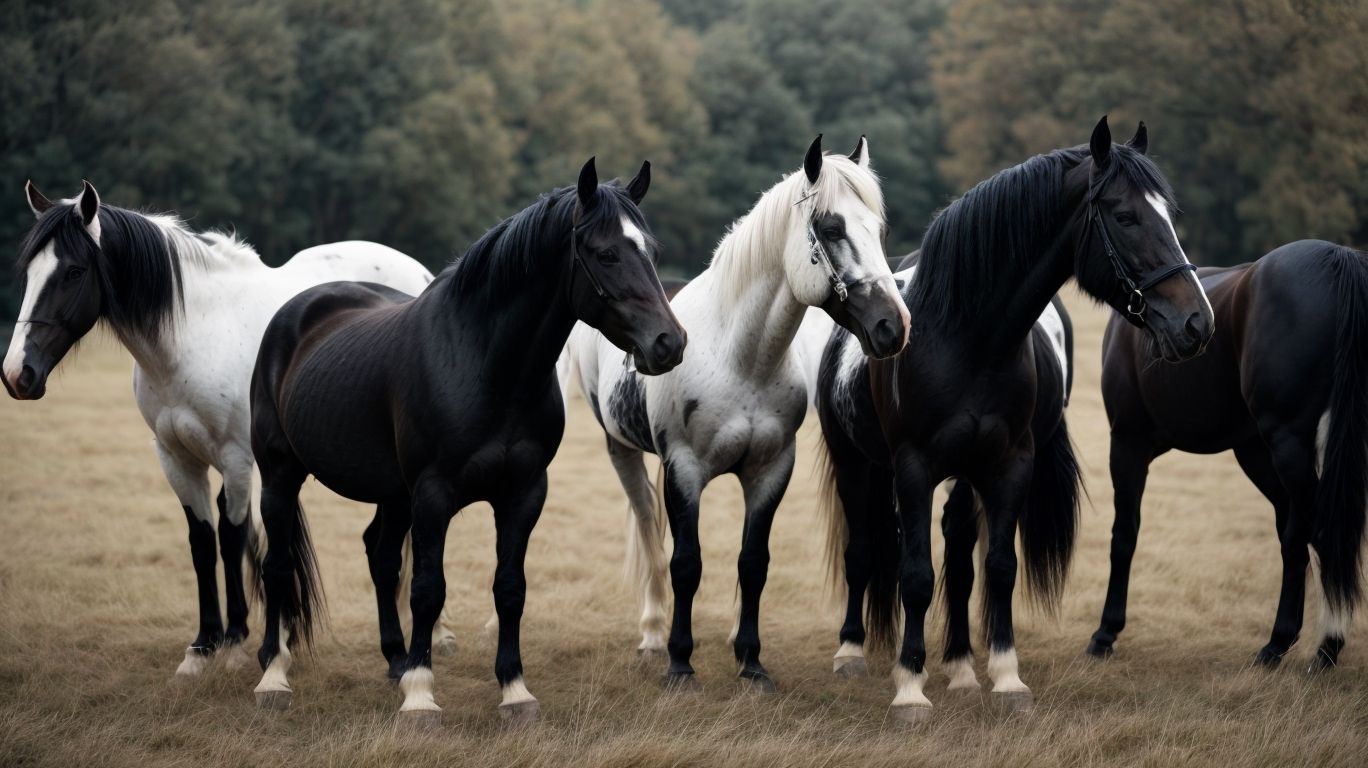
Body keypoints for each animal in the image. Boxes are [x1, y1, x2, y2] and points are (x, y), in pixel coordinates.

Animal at [2, 181, 434, 677]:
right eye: (30, 273)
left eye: (73, 272)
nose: (17, 374)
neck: (195, 335)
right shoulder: (175, 457)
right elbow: (202, 542)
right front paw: (203, 644)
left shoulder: (236, 460)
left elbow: (232, 539)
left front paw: (235, 640)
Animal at [249, 158, 686, 726]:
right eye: (606, 252)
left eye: (650, 249)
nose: (669, 343)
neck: (487, 365)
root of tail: (297, 311)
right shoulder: (434, 495)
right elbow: (428, 589)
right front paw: (420, 697)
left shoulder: (523, 493)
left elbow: (509, 588)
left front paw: (514, 690)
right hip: (280, 475)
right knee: (278, 566)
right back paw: (274, 676)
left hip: (392, 493)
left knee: (380, 557)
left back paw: (395, 661)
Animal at [569, 135, 908, 692]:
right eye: (831, 229)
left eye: (878, 231)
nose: (893, 327)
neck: (739, 357)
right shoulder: (683, 470)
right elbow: (686, 563)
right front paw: (680, 663)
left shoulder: (770, 470)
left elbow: (753, 563)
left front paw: (750, 661)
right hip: (621, 451)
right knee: (648, 530)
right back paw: (653, 635)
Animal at [814, 117, 1215, 720]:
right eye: (1126, 216)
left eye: (1167, 213)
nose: (1197, 322)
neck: (968, 340)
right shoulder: (913, 468)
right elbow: (914, 575)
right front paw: (910, 687)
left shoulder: (1009, 466)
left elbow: (997, 567)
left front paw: (1005, 679)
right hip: (854, 462)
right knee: (861, 549)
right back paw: (851, 652)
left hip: (963, 475)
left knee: (959, 555)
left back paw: (960, 667)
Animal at [1087, 239, 1368, 671]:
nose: (1194, 327)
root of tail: (1340, 258)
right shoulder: (1253, 449)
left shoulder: (1127, 443)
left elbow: (1124, 535)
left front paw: (1106, 633)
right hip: (1276, 456)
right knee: (1304, 538)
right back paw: (1287, 644)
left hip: (1289, 449)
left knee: (1322, 533)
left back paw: (1320, 646)